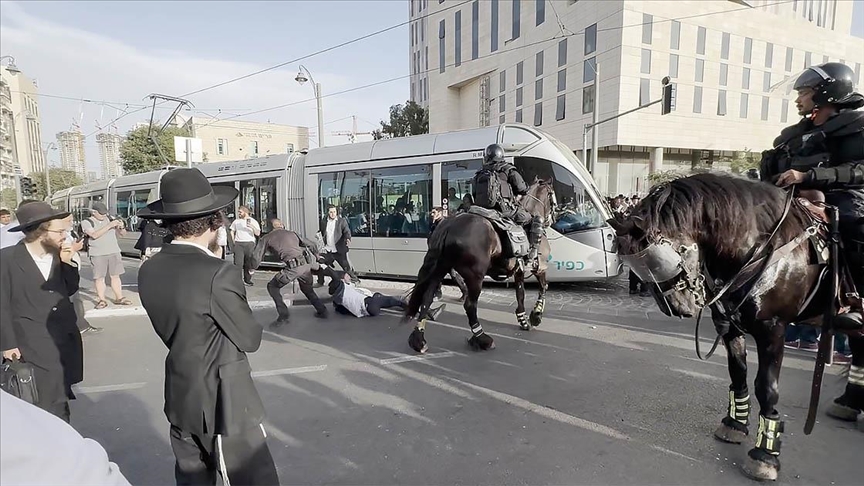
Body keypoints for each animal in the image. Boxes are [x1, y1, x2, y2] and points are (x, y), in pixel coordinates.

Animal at [404, 178, 552, 354]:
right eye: (552, 196)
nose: (551, 218)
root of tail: (449, 225)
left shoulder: (519, 270)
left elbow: (520, 294)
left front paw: (523, 319)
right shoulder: (540, 268)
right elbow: (543, 287)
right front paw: (535, 316)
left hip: (440, 269)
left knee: (427, 298)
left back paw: (418, 339)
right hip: (475, 276)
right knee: (470, 305)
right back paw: (482, 338)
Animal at [612, 173, 860, 480]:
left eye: (659, 262)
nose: (678, 308)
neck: (757, 247)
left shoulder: (772, 329)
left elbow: (766, 386)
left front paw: (766, 453)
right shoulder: (730, 326)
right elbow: (738, 372)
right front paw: (735, 423)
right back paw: (849, 402)